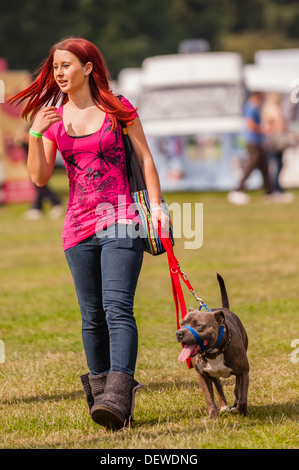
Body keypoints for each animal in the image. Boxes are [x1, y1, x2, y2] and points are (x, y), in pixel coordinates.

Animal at [176, 274, 251, 416]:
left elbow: (242, 397)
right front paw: (213, 416)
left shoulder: (243, 371)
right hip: (213, 375)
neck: (214, 352)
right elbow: (209, 397)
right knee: (219, 387)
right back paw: (223, 406)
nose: (179, 333)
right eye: (182, 323)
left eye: (198, 325)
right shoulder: (203, 375)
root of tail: (224, 309)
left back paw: (234, 406)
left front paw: (240, 410)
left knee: (236, 390)